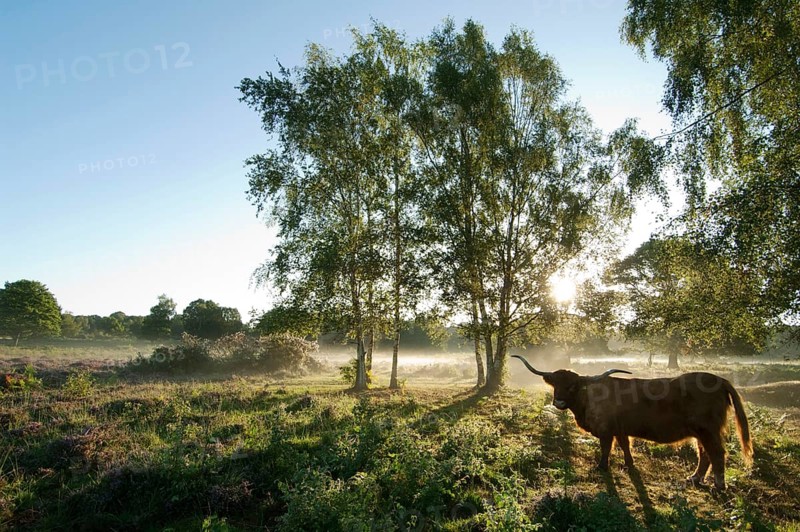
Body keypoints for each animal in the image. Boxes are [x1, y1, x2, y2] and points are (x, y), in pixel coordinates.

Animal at [512, 355, 753, 489]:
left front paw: (602, 467)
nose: (559, 402)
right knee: (704, 454)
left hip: (708, 430)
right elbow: (625, 446)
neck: (587, 401)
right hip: (699, 432)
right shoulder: (621, 429)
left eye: (573, 386)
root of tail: (720, 379)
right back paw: (694, 478)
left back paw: (718, 486)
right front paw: (629, 465)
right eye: (555, 385)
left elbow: (606, 448)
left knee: (717, 453)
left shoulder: (606, 430)